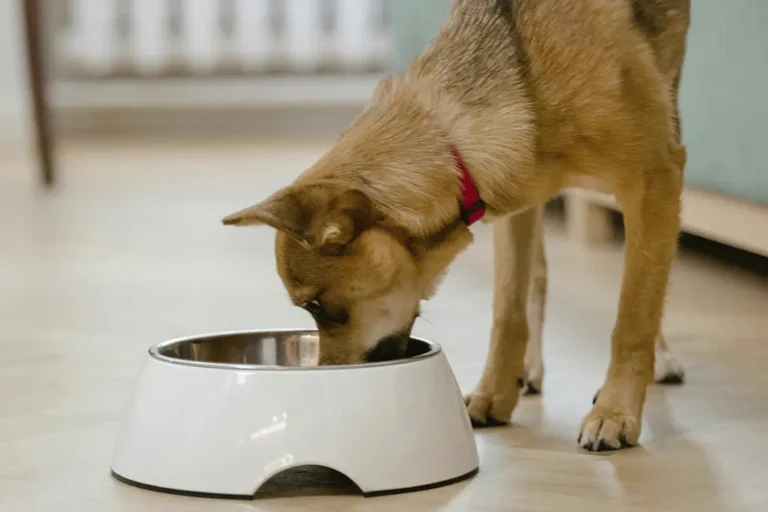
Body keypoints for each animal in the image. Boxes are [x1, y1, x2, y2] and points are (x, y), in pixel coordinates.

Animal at [220, 0, 688, 452]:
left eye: (316, 306)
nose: (327, 379)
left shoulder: (655, 181)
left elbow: (634, 314)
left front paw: (616, 410)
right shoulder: (520, 197)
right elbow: (508, 310)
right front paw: (495, 393)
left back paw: (658, 361)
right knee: (537, 276)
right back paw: (531, 368)